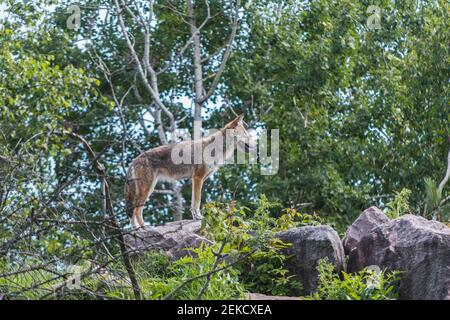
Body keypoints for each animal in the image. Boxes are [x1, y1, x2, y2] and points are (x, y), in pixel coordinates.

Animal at [125, 114, 255, 228]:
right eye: (246, 134)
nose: (255, 145)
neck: (216, 149)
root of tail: (134, 160)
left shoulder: (200, 179)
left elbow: (194, 201)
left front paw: (195, 216)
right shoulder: (198, 178)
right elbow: (197, 201)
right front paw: (198, 217)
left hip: (149, 189)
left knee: (134, 210)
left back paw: (137, 227)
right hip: (146, 190)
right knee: (136, 210)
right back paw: (142, 227)